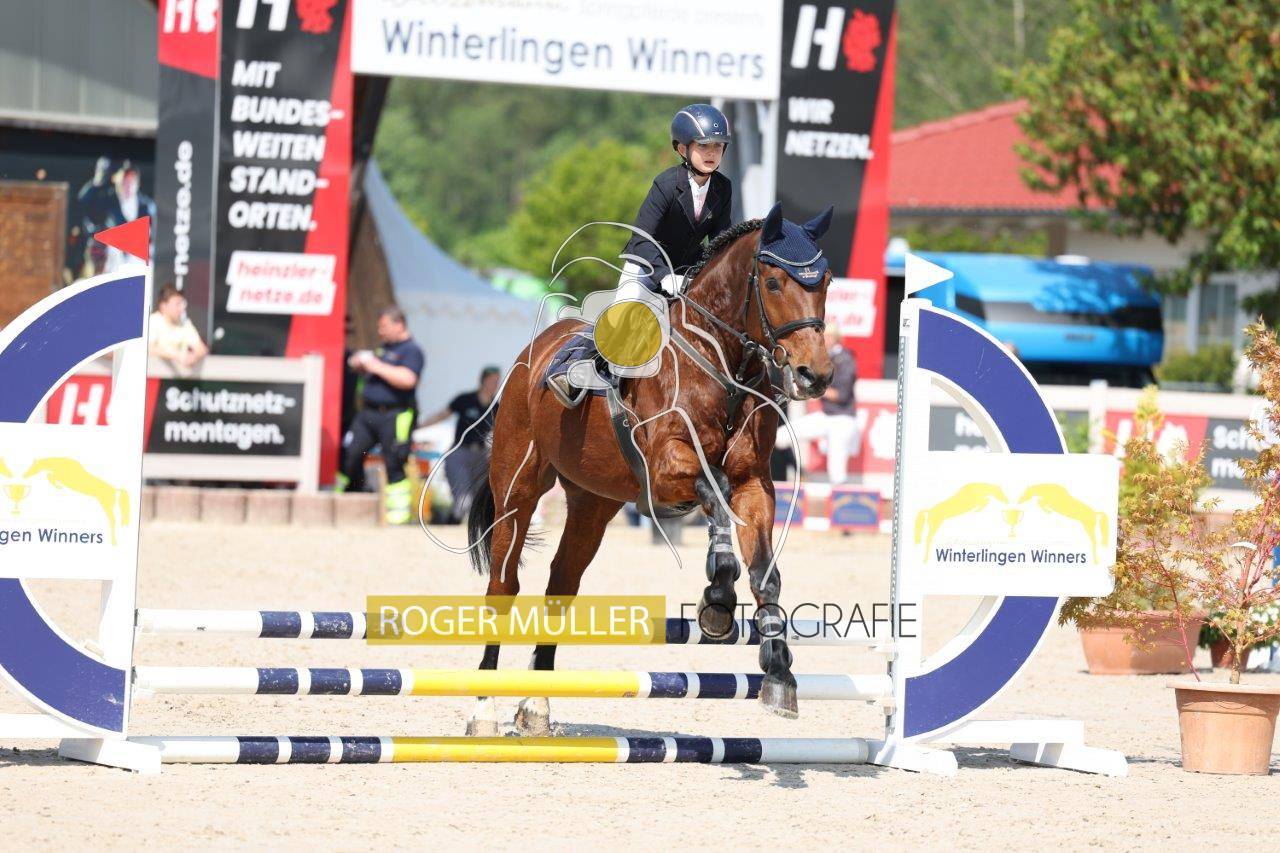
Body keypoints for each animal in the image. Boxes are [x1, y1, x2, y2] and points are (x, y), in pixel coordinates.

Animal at [461, 202, 836, 736]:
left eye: (825, 281)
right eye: (773, 282)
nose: (815, 376)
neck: (723, 365)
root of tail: (532, 354)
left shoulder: (754, 484)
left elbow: (765, 571)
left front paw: (779, 676)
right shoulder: (664, 470)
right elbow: (714, 490)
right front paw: (717, 600)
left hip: (593, 502)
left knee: (561, 583)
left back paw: (536, 707)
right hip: (519, 487)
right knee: (503, 584)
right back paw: (483, 710)